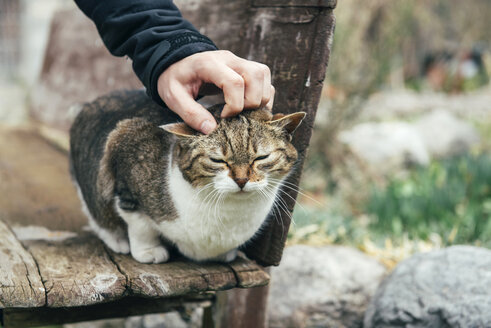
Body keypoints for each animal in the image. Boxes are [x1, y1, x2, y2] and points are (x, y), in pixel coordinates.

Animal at [69, 89, 306, 264]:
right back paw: (116, 238)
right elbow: (140, 223)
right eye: (218, 160)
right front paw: (148, 250)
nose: (241, 180)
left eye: (261, 157)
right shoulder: (126, 148)